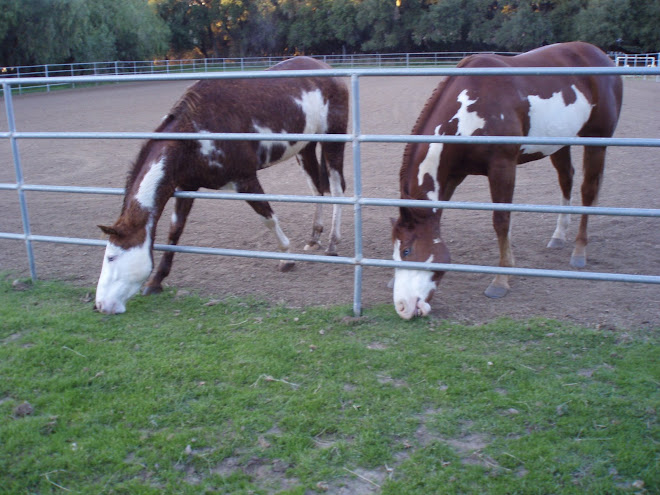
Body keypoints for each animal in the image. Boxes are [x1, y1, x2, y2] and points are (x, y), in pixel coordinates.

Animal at [96, 56, 350, 314]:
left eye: (112, 257)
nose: (101, 305)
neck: (194, 134)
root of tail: (326, 68)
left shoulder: (245, 180)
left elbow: (268, 218)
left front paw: (286, 259)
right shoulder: (187, 187)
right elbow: (175, 230)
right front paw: (156, 281)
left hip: (333, 142)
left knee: (337, 190)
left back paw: (332, 243)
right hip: (305, 148)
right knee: (317, 190)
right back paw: (314, 238)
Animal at [392, 42, 624, 322]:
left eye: (407, 250)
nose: (402, 307)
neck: (472, 104)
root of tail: (601, 55)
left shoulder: (502, 167)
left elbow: (501, 221)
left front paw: (501, 280)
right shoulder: (454, 175)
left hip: (597, 141)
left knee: (588, 190)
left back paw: (579, 252)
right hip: (560, 142)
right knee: (566, 179)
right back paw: (558, 236)